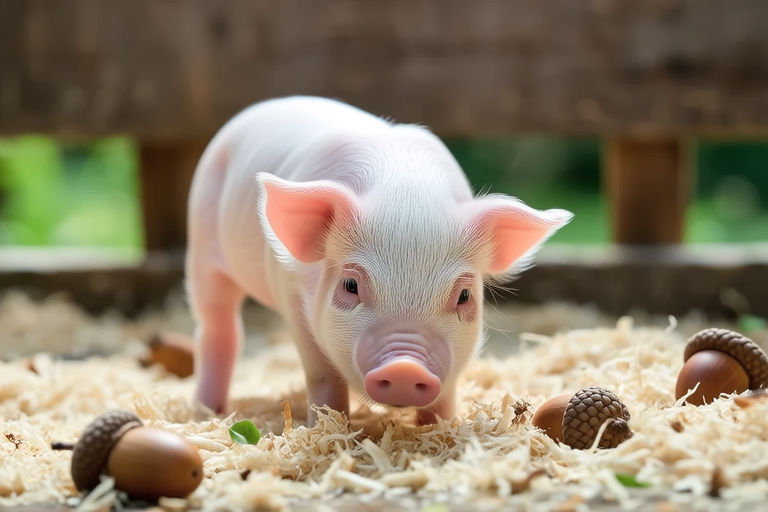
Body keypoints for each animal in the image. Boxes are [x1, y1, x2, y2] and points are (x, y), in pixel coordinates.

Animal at [187, 96, 573, 426]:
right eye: (350, 285)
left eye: (464, 295)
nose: (405, 368)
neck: (403, 190)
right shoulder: (291, 291)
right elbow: (322, 374)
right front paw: (326, 426)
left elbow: (446, 393)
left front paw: (441, 427)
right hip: (202, 248)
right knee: (219, 326)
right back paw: (206, 411)